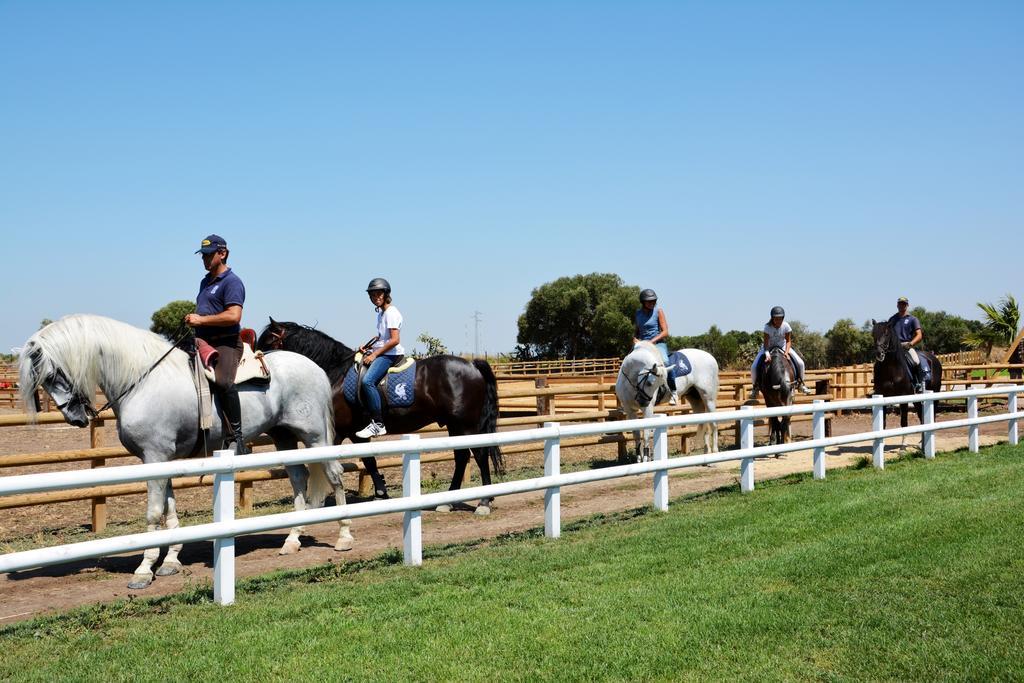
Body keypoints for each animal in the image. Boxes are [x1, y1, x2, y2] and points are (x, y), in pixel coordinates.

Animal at [18, 313, 348, 589]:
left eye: (51, 374)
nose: (75, 417)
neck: (143, 379)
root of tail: (315, 368)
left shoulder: (154, 457)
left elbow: (154, 513)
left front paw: (144, 569)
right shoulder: (160, 459)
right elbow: (169, 509)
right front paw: (171, 561)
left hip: (315, 437)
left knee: (334, 474)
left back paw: (344, 535)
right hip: (285, 437)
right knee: (299, 479)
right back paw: (292, 540)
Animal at [256, 317, 503, 516]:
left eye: (267, 343)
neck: (335, 374)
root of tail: (472, 365)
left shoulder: (341, 433)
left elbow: (345, 462)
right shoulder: (350, 433)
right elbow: (366, 461)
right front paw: (379, 493)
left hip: (466, 425)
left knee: (479, 456)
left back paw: (483, 502)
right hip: (455, 426)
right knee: (462, 457)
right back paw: (448, 502)